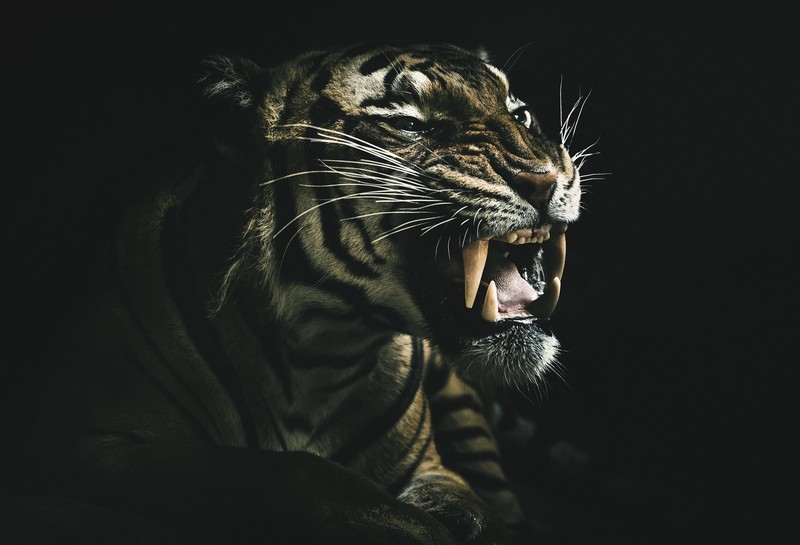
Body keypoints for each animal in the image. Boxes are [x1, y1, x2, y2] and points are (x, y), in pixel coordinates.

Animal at [6, 42, 585, 544]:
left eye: (522, 115)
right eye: (407, 123)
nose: (547, 178)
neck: (321, 351)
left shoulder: (432, 467)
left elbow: (474, 510)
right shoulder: (87, 444)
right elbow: (290, 473)